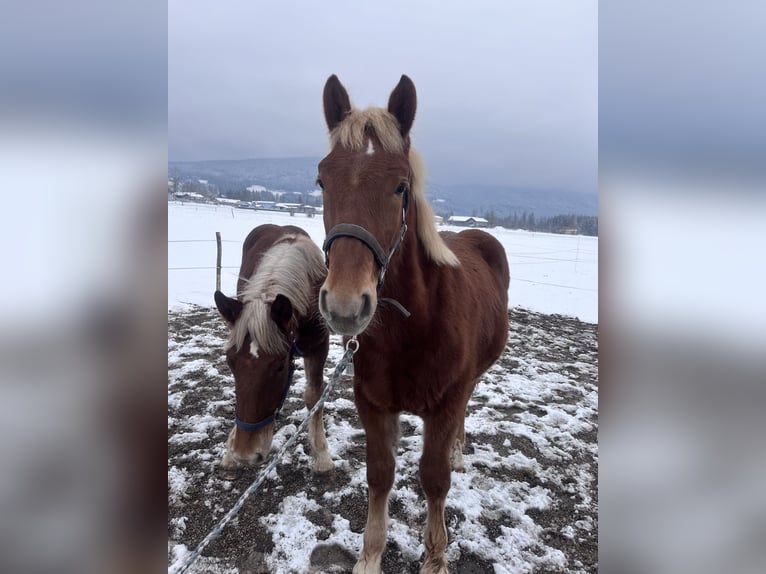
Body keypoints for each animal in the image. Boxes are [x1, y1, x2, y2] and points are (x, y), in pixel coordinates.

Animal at [213, 225, 332, 482]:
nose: (246, 454)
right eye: (230, 363)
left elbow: (314, 395)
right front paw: (230, 452)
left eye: (279, 366)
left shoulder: (319, 347)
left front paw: (321, 456)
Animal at [318, 76, 510, 574]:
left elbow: (434, 479)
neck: (413, 326)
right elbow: (380, 475)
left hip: (472, 379)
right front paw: (369, 557)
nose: (345, 304)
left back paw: (459, 451)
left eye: (400, 186)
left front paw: (435, 558)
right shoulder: (373, 404)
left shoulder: (442, 407)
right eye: (321, 180)